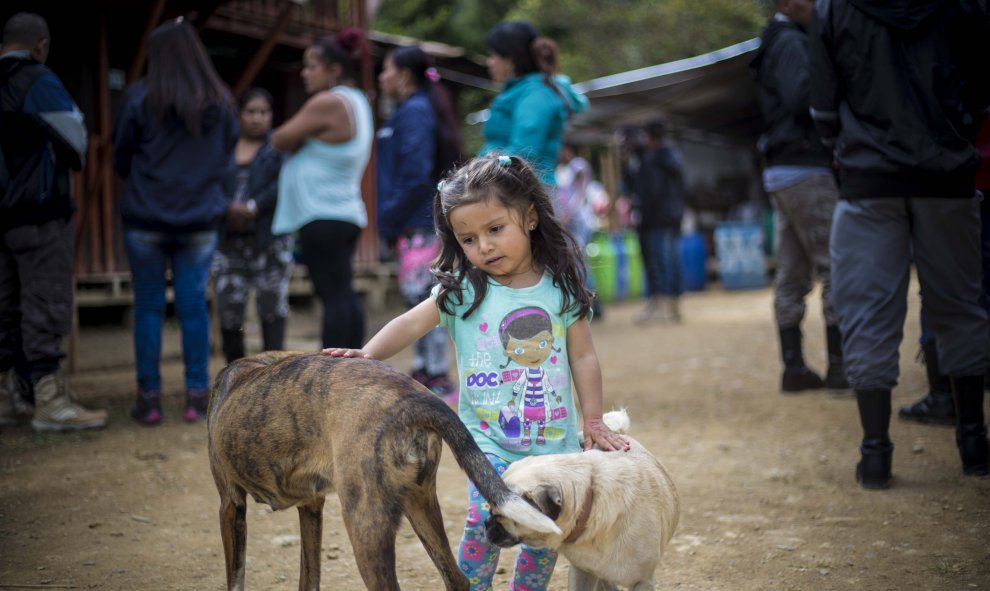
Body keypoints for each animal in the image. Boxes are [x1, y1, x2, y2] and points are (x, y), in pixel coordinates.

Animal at [207, 352, 560, 591]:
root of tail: (416, 398)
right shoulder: (311, 508)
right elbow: (309, 578)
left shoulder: (229, 504)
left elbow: (235, 576)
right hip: (420, 505)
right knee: (458, 579)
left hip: (365, 524)